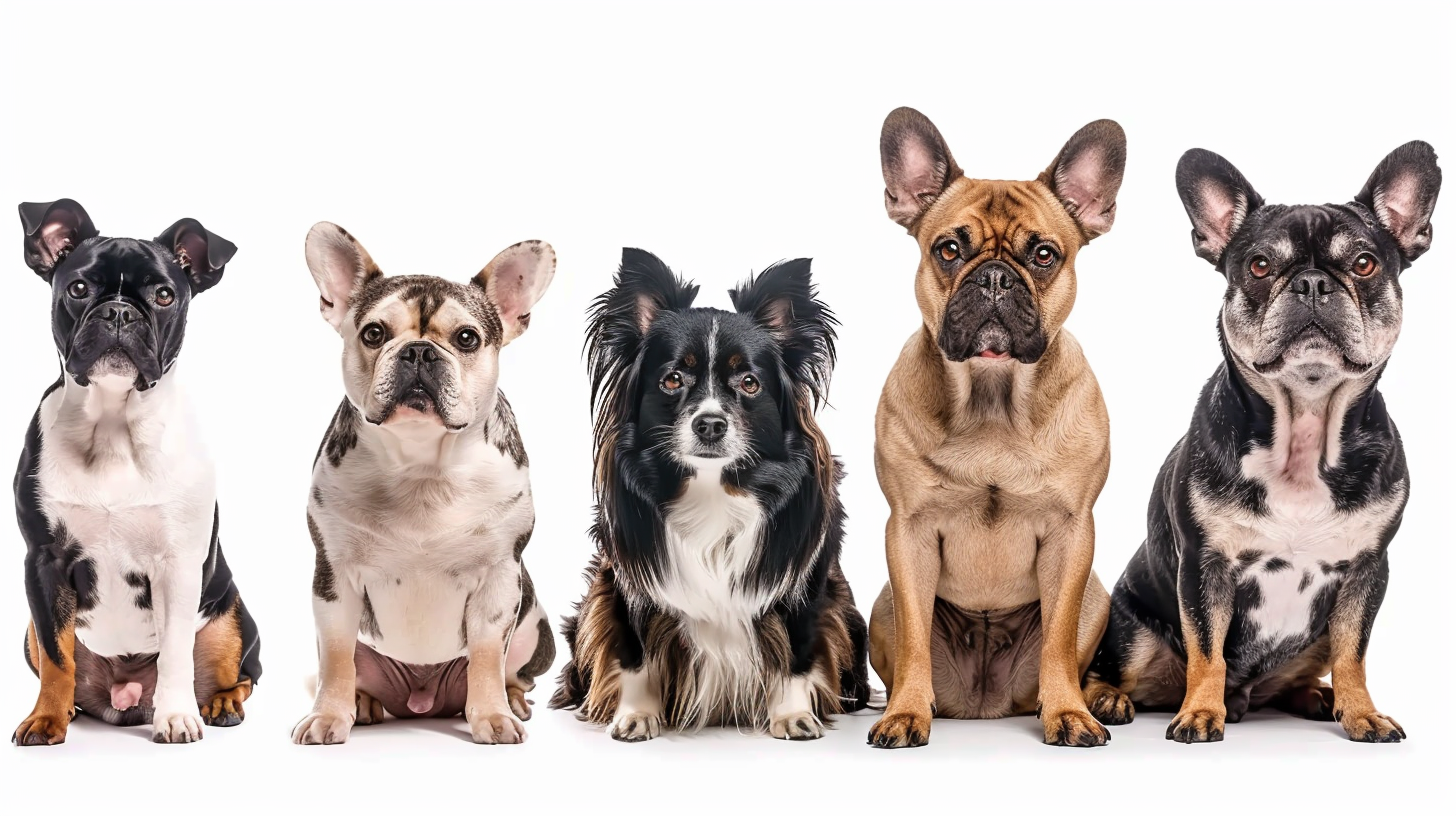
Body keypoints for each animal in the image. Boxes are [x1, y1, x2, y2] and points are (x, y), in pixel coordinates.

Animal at [11, 199, 259, 746]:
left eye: (164, 295)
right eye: (78, 288)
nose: (120, 312)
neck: (112, 423)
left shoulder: (178, 565)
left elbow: (175, 653)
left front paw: (177, 718)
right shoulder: (44, 562)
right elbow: (57, 659)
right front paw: (46, 718)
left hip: (231, 617)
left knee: (242, 672)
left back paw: (220, 703)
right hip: (29, 631)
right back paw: (71, 708)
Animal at [289, 222, 556, 746]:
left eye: (467, 338)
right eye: (373, 333)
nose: (418, 351)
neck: (421, 465)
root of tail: (422, 699)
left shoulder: (499, 581)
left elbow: (488, 656)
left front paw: (492, 715)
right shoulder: (334, 580)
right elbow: (336, 657)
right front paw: (329, 716)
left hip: (534, 624)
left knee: (513, 671)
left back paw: (512, 700)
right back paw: (362, 703)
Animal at [547, 247, 861, 740]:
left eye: (749, 383)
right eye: (672, 379)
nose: (710, 423)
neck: (714, 491)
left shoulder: (807, 587)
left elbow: (797, 649)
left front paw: (792, 716)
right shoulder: (623, 585)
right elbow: (635, 653)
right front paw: (636, 714)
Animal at [861, 108, 1124, 746]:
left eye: (1045, 254)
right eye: (949, 249)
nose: (996, 279)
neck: (992, 395)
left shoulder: (1072, 535)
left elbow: (1058, 640)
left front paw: (1068, 713)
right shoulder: (907, 534)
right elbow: (914, 639)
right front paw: (905, 713)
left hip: (1098, 597)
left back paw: (1102, 699)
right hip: (879, 606)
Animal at [1089, 143, 1438, 743]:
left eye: (1364, 264)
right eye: (1259, 265)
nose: (1313, 283)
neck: (1304, 427)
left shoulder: (1368, 570)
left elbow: (1354, 652)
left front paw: (1362, 712)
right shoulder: (1205, 566)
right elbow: (1207, 650)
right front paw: (1200, 714)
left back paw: (1320, 697)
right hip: (1132, 635)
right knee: (1108, 671)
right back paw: (1112, 700)